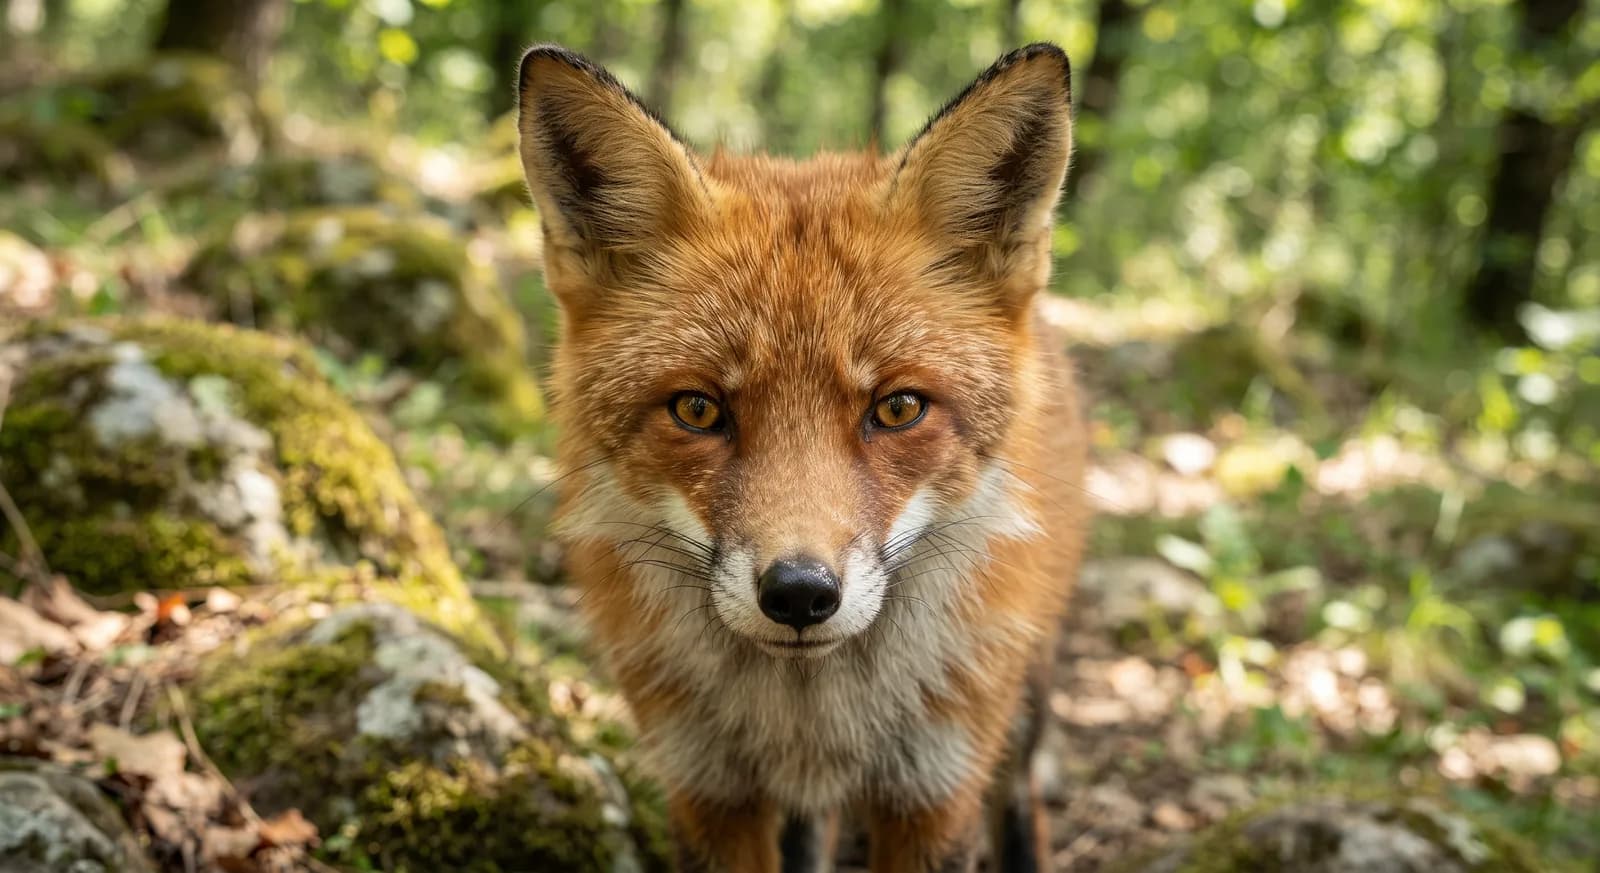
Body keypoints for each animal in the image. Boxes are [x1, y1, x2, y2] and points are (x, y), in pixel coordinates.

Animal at [515, 41, 1090, 873]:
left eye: (898, 408)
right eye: (697, 409)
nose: (797, 593)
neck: (809, 716)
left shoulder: (933, 788)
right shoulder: (709, 789)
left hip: (1020, 704)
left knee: (1019, 804)